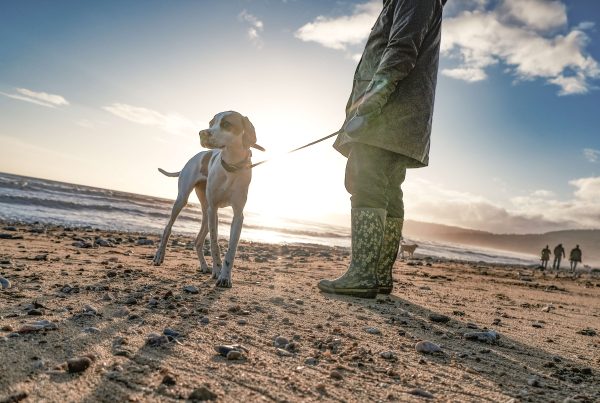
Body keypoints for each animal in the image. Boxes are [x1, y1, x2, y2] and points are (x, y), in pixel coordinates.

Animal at [152, 110, 262, 288]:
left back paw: (204, 266)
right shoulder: (214, 209)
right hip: (184, 201)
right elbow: (215, 243)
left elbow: (231, 249)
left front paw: (225, 276)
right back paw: (159, 256)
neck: (231, 166)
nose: (202, 133)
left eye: (226, 124)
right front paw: (217, 270)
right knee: (168, 228)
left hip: (205, 212)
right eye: (210, 123)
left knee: (198, 241)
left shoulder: (238, 215)